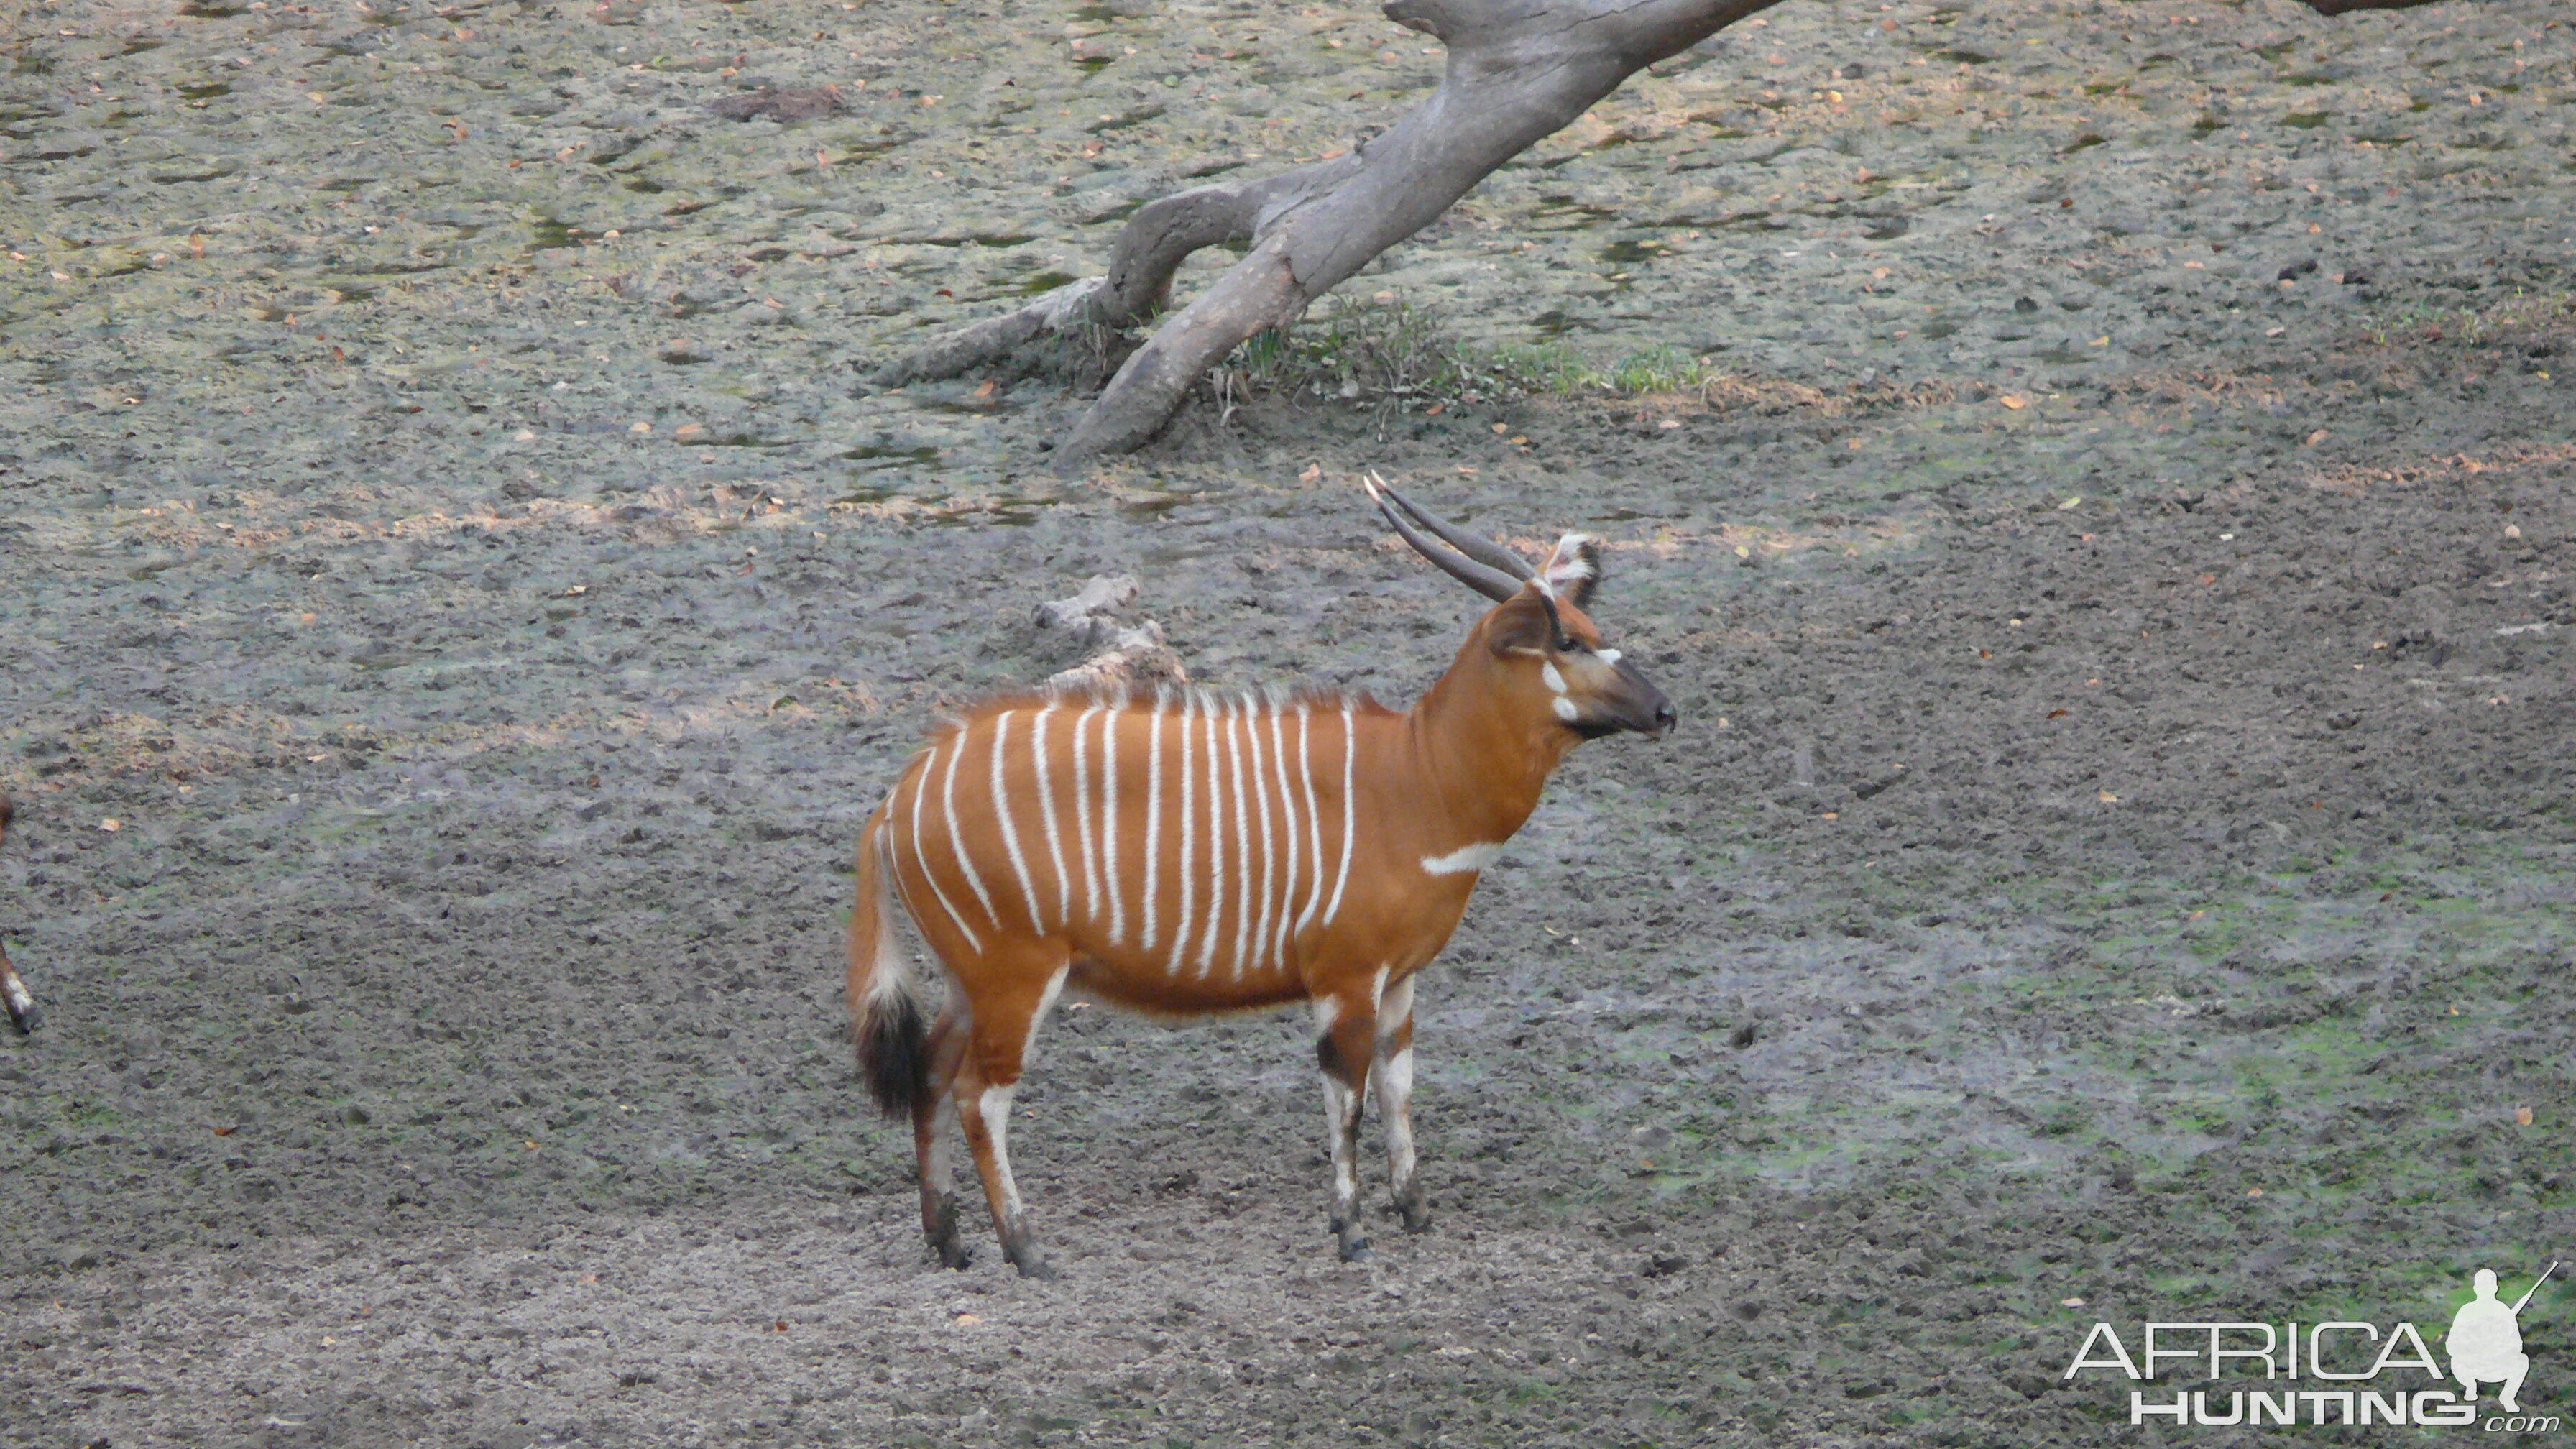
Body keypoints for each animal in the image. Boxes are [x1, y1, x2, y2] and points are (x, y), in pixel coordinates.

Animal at [855, 474, 1679, 1263]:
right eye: (1566, 641)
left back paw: (949, 1242)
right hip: (1015, 979)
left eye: (1594, 633)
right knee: (978, 1096)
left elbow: (1398, 1091)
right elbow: (1345, 1100)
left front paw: (1415, 1212)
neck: (1418, 775)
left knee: (931, 1074)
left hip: (972, 981)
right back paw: (1026, 1250)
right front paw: (1351, 1233)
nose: (1664, 711)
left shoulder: (1400, 982)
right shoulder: (1344, 978)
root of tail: (899, 798)